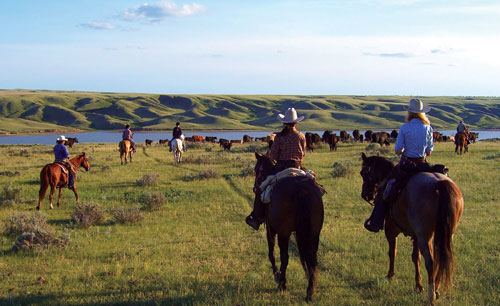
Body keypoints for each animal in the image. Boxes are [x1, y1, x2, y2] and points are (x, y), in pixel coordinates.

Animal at [254, 153, 324, 302]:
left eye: (256, 169)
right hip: (314, 233)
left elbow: (272, 254)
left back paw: (282, 283)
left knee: (284, 257)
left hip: (284, 233)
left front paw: (276, 275)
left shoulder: (270, 229)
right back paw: (310, 290)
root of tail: (300, 190)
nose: (255, 187)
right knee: (312, 258)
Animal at [360, 153, 464, 304]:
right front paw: (418, 285)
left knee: (431, 262)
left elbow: (392, 252)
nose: (365, 195)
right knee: (441, 258)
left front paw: (390, 276)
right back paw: (437, 289)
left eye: (363, 173)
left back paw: (431, 295)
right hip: (445, 234)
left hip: (424, 237)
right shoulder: (415, 236)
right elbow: (416, 257)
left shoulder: (391, 231)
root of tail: (440, 184)